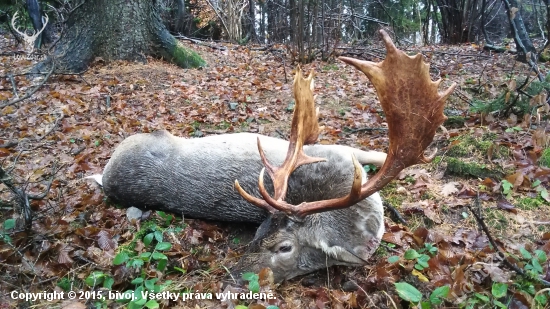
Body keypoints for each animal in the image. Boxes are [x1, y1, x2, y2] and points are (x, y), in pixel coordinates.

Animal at [89, 30, 458, 282]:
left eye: (283, 247)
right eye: (258, 235)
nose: (235, 279)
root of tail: (107, 177)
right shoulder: (330, 150)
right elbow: (374, 151)